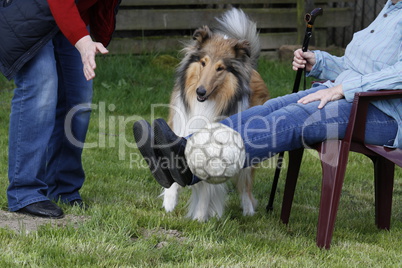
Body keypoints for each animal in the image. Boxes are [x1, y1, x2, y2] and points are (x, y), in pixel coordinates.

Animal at [161, 8, 270, 222]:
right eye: (203, 63)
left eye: (220, 68)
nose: (200, 92)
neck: (206, 104)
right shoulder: (181, 127)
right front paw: (170, 202)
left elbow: (207, 188)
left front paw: (200, 217)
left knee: (245, 184)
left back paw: (248, 210)